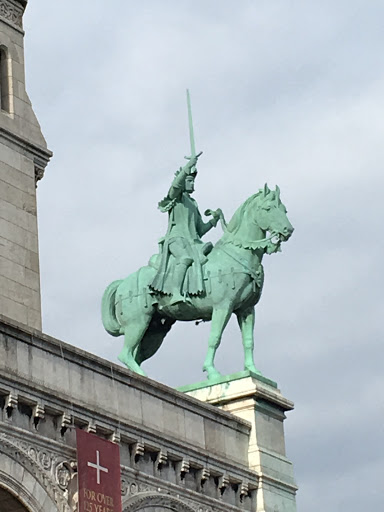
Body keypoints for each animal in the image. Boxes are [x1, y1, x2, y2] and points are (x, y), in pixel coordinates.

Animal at [102, 184, 294, 380]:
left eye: (284, 209)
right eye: (268, 208)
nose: (288, 230)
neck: (238, 253)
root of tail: (123, 283)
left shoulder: (246, 309)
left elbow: (248, 341)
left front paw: (253, 370)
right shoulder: (223, 307)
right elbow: (215, 338)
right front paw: (211, 371)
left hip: (154, 330)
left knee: (135, 354)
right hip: (138, 322)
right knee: (125, 354)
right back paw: (142, 376)